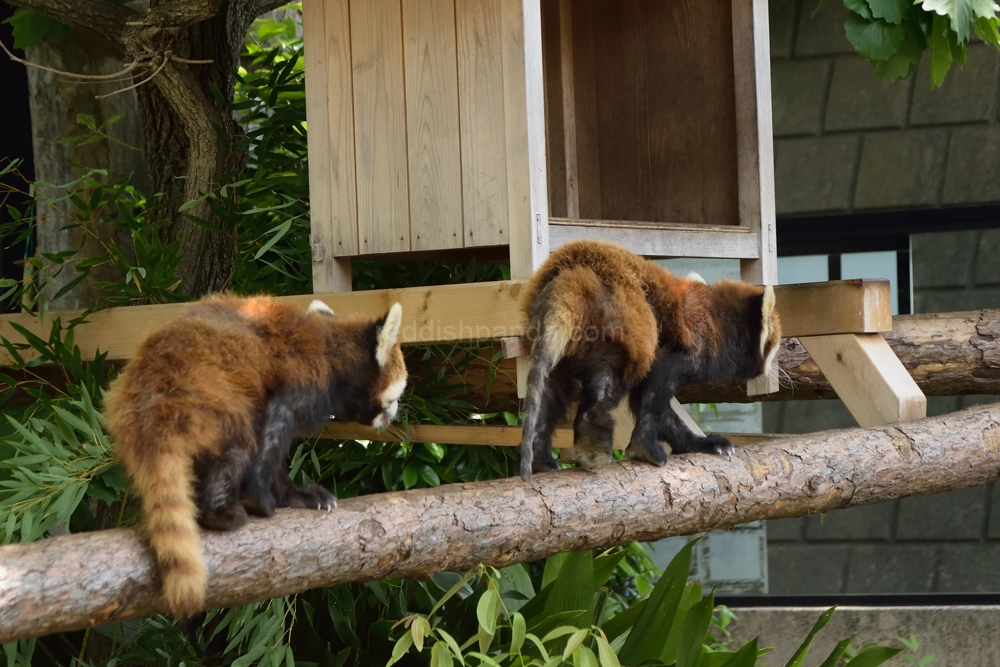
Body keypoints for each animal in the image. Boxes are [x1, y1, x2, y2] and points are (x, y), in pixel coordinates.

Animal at [102, 294, 406, 620]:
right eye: (397, 393)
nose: (395, 412)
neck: (335, 355)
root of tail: (148, 391)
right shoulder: (300, 381)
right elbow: (271, 439)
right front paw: (270, 498)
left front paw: (294, 496)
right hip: (213, 399)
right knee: (239, 448)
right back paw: (221, 512)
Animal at [520, 240, 784, 480]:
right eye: (775, 347)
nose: (772, 370)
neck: (720, 323)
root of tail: (572, 276)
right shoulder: (688, 348)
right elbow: (656, 391)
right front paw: (644, 446)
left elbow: (654, 406)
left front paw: (698, 443)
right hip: (617, 323)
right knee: (609, 381)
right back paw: (592, 445)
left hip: (559, 345)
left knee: (549, 393)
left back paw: (542, 458)